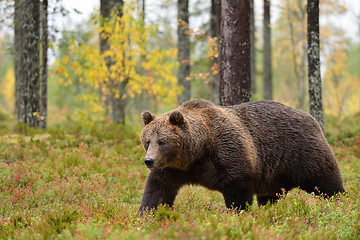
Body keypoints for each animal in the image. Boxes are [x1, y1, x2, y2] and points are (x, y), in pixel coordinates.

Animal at [138, 99, 344, 212]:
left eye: (162, 141)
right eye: (147, 141)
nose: (149, 161)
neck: (197, 154)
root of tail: (311, 118)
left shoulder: (226, 154)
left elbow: (237, 188)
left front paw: (237, 213)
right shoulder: (172, 169)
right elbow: (157, 190)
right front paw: (147, 214)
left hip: (302, 152)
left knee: (325, 181)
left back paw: (341, 202)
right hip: (274, 175)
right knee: (269, 196)